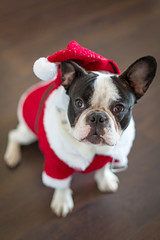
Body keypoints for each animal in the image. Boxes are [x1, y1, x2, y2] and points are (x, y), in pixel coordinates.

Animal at [4, 43, 157, 218]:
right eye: (78, 103)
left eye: (119, 108)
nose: (97, 117)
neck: (93, 148)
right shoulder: (56, 164)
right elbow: (61, 184)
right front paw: (62, 201)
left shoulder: (106, 156)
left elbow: (103, 168)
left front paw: (105, 180)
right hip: (29, 133)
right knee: (14, 135)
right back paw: (12, 156)